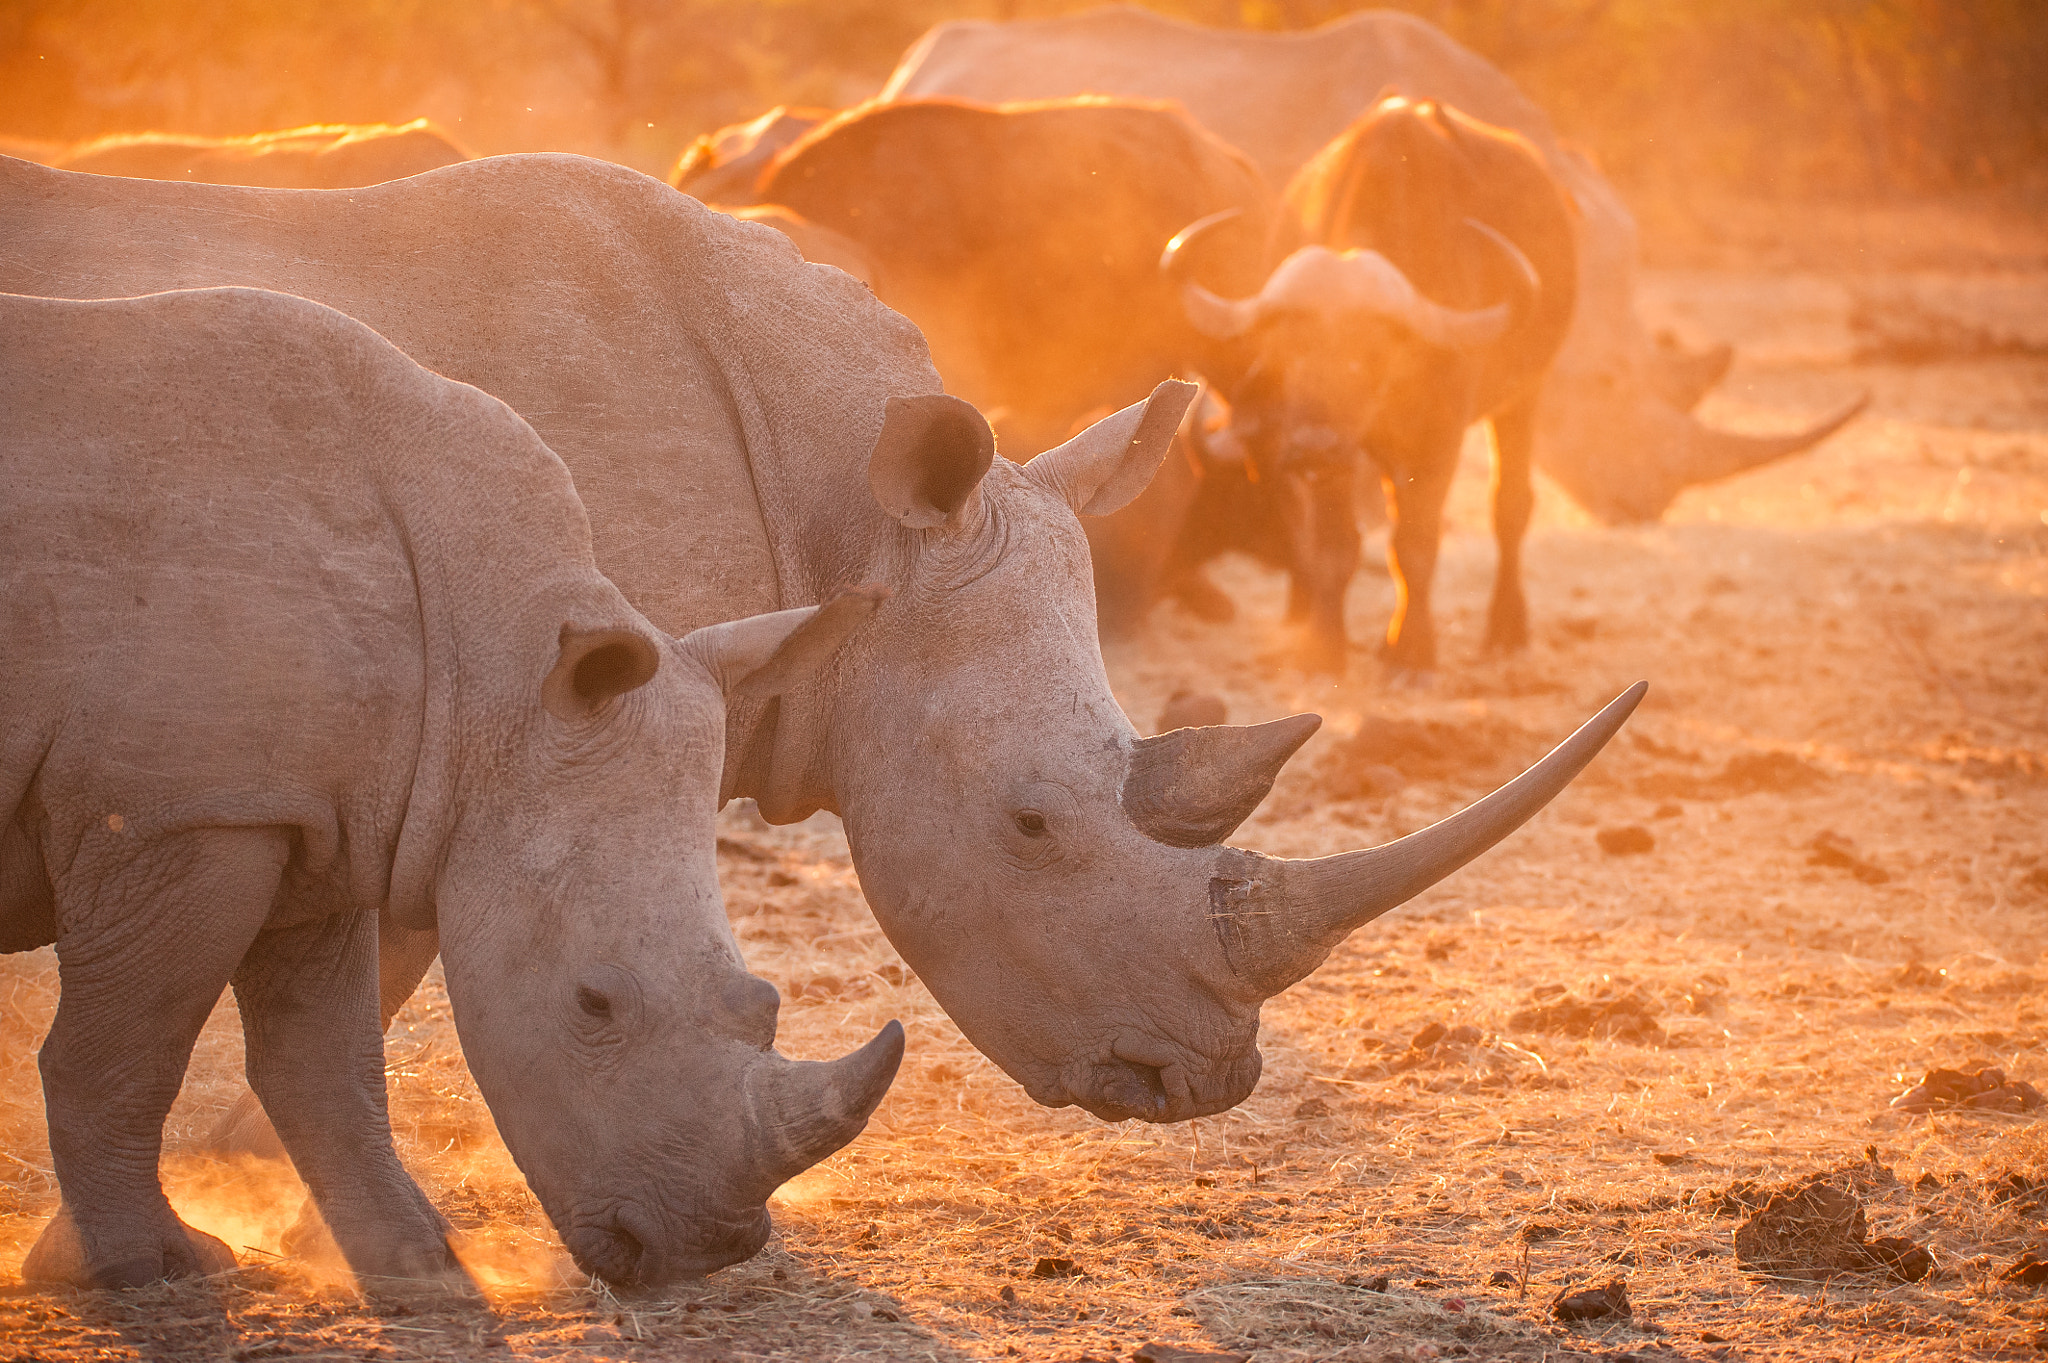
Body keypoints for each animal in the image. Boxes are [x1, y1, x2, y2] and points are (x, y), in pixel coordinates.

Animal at [0, 284, 898, 1291]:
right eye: (593, 1002)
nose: (700, 1249)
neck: (493, 668)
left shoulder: (310, 812)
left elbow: (327, 1059)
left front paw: (420, 1262)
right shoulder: (180, 813)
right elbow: (125, 1051)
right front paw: (139, 1267)